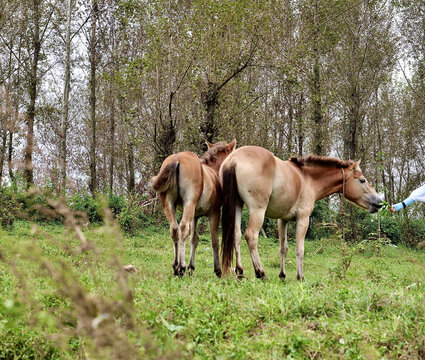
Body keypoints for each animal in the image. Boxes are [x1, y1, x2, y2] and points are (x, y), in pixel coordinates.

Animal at [151, 139, 235, 278]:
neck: (213, 171)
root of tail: (177, 158)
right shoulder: (214, 213)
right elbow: (214, 241)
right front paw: (217, 270)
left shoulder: (195, 216)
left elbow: (194, 239)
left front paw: (191, 268)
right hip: (188, 204)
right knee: (183, 228)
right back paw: (181, 267)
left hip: (169, 205)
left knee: (174, 230)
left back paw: (176, 267)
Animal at [220, 146, 380, 282]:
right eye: (362, 180)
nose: (378, 202)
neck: (307, 178)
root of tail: (234, 158)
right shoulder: (303, 218)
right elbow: (300, 249)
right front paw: (300, 276)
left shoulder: (282, 220)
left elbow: (283, 249)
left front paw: (282, 275)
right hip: (257, 210)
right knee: (251, 236)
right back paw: (260, 273)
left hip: (237, 206)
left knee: (236, 235)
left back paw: (240, 271)